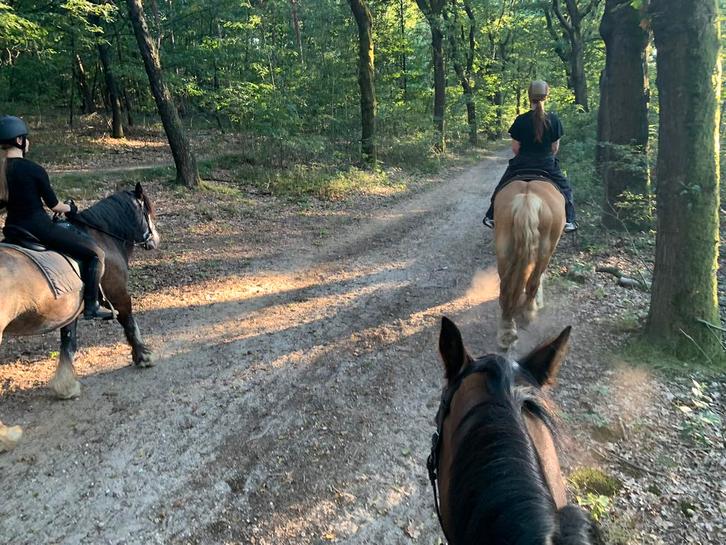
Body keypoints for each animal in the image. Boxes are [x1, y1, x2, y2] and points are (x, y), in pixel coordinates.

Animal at [0, 182, 159, 450]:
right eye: (147, 210)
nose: (156, 239)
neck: (101, 236)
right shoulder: (118, 294)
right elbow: (129, 322)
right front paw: (143, 356)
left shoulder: (71, 311)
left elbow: (68, 344)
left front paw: (66, 386)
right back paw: (7, 435)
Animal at [493, 179, 565, 350]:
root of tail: (527, 199)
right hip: (545, 250)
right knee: (533, 281)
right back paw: (530, 311)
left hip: (504, 250)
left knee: (505, 288)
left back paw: (506, 330)